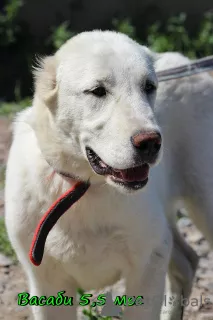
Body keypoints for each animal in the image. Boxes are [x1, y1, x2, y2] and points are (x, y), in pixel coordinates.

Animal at [4, 30, 171, 320]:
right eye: (98, 91)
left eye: (148, 87)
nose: (150, 142)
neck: (84, 188)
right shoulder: (45, 283)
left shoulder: (150, 263)